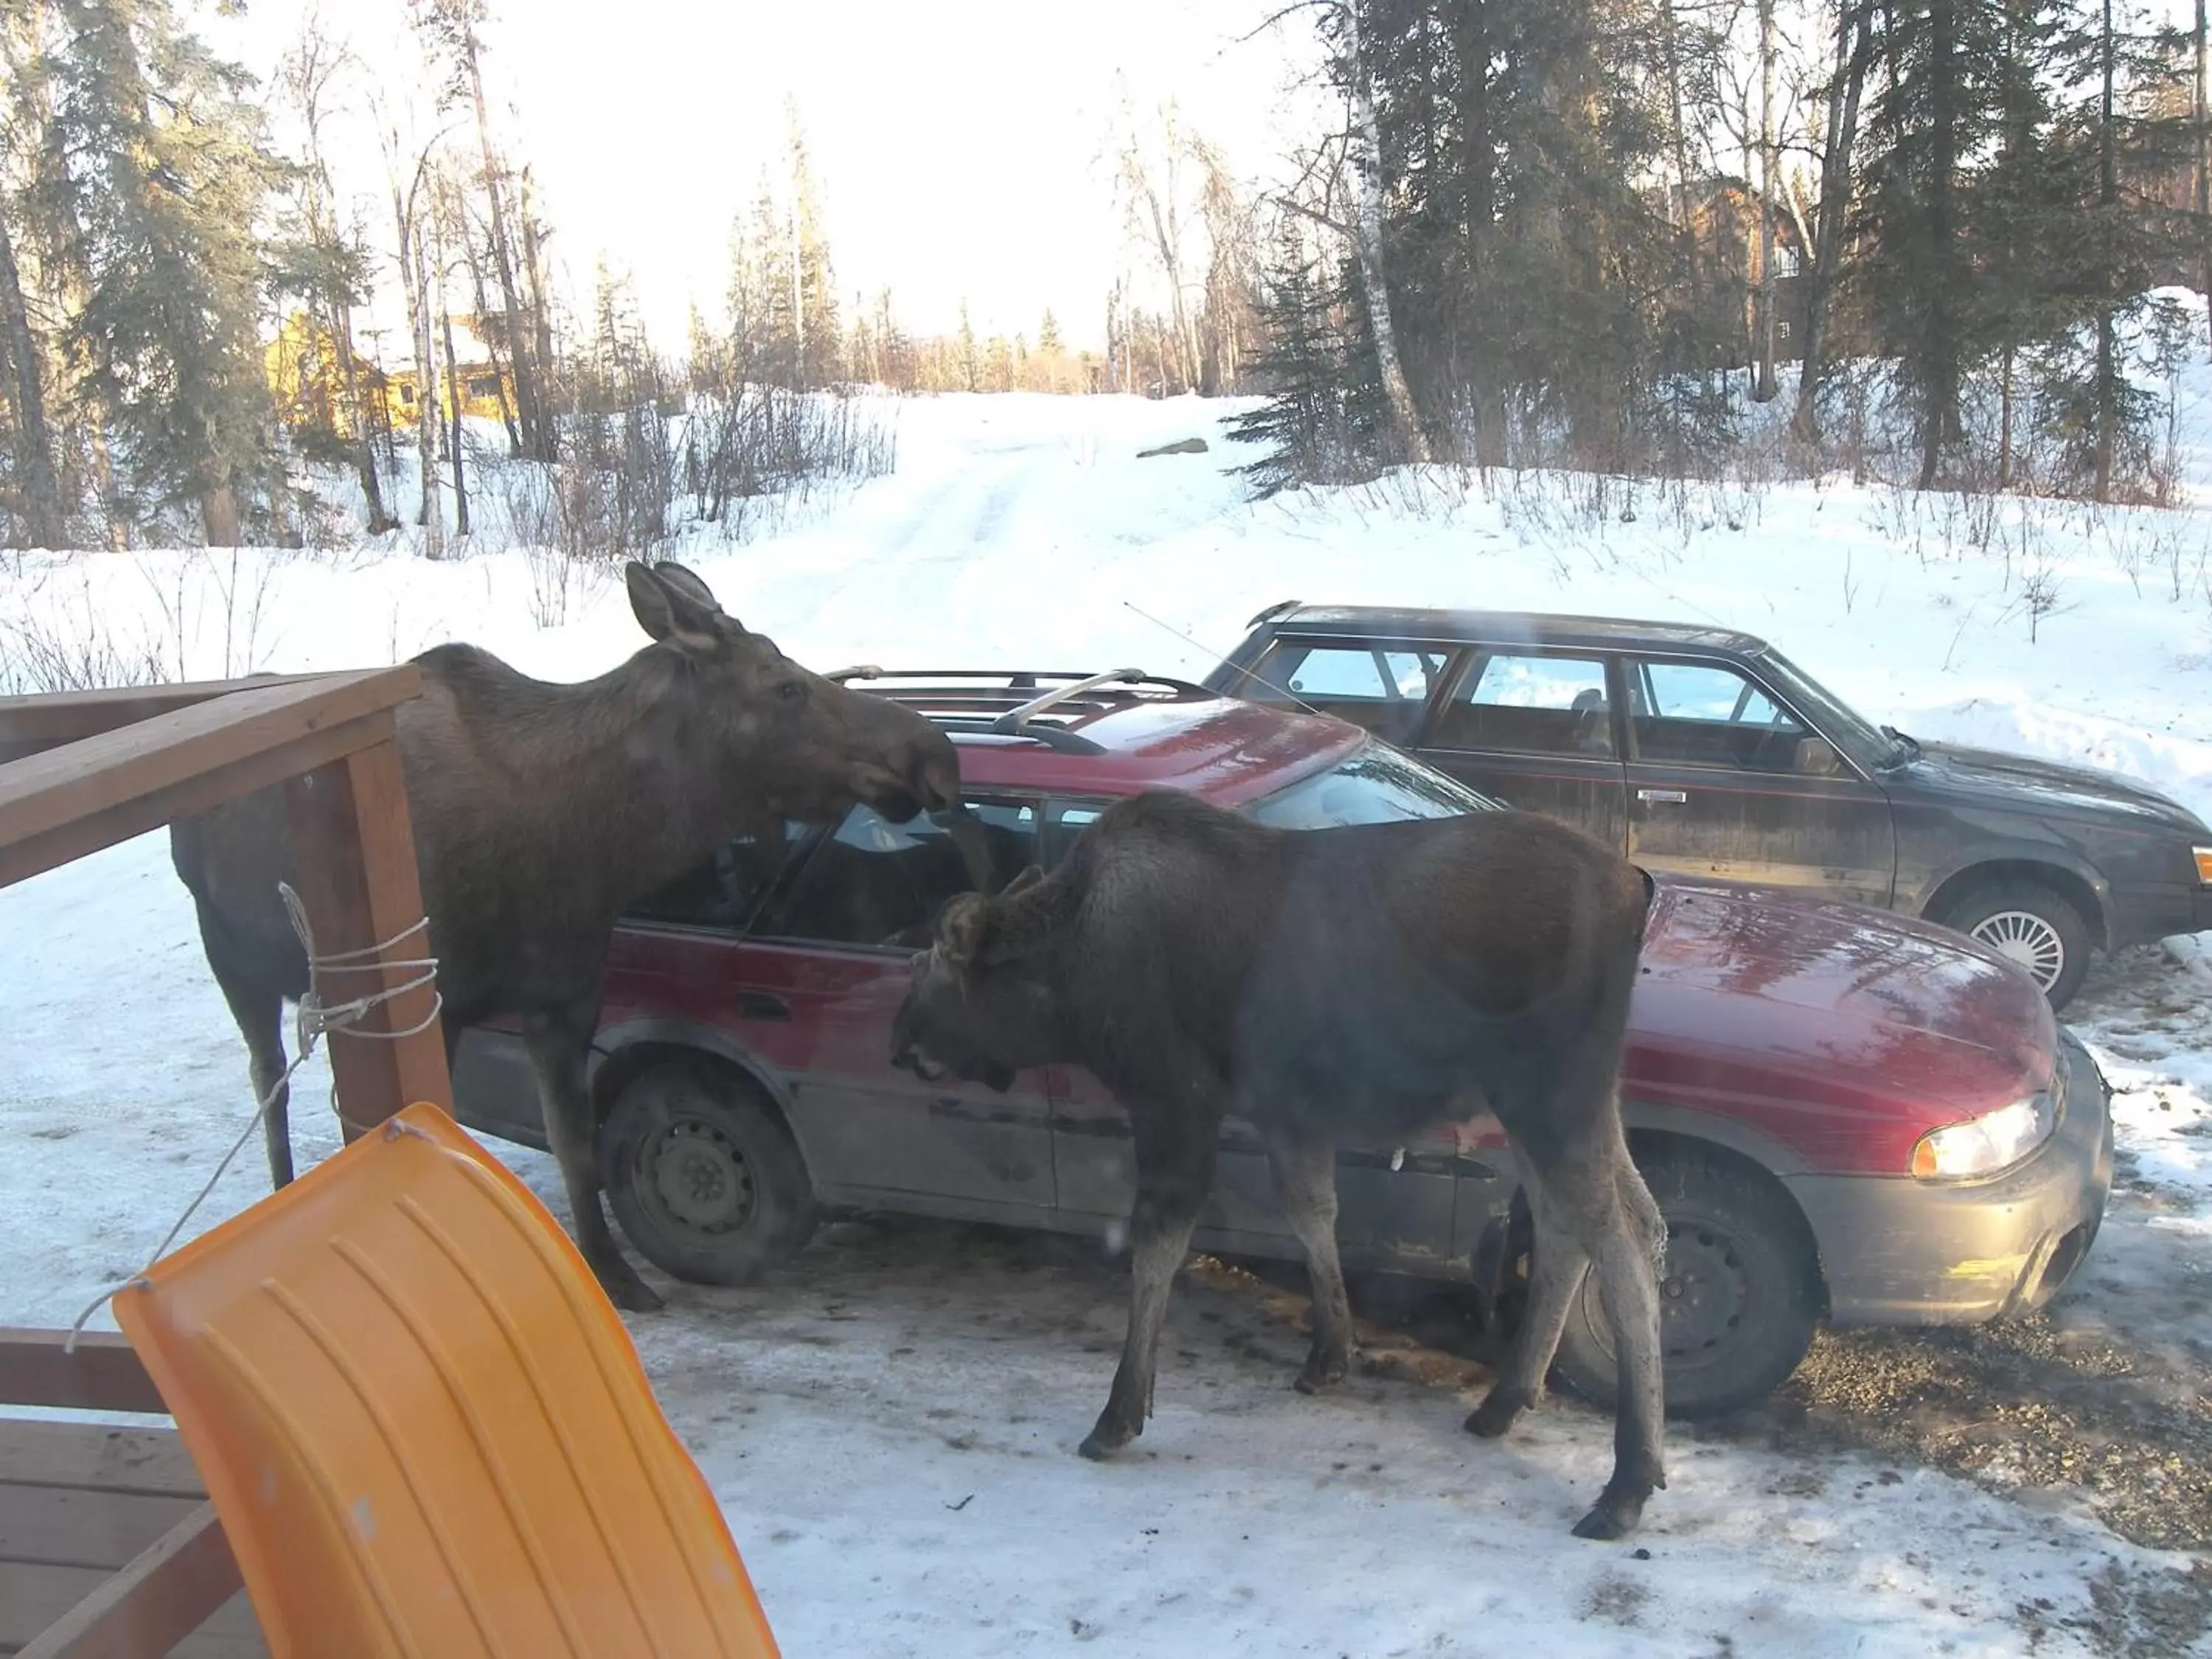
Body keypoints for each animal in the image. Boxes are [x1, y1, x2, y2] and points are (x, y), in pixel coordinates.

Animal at [175, 566, 960, 1318]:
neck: (585, 843)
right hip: (232, 956)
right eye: (787, 687)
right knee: (267, 1080)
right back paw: (280, 1188)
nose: (937, 752)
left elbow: (574, 1143)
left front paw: (614, 1276)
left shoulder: (566, 996)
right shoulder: (430, 998)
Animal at [889, 792, 1663, 1548]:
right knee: (1591, 1224)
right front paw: (1330, 1354)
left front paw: (1119, 1413)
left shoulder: (1176, 1100)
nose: (898, 1042)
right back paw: (1507, 1403)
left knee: (1620, 1237)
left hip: (1550, 1092)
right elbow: (1311, 1212)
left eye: (930, 967)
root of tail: (1637, 889)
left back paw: (1627, 1483)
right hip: (1549, 1101)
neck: (1068, 982)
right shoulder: (1288, 1115)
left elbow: (1157, 1245)